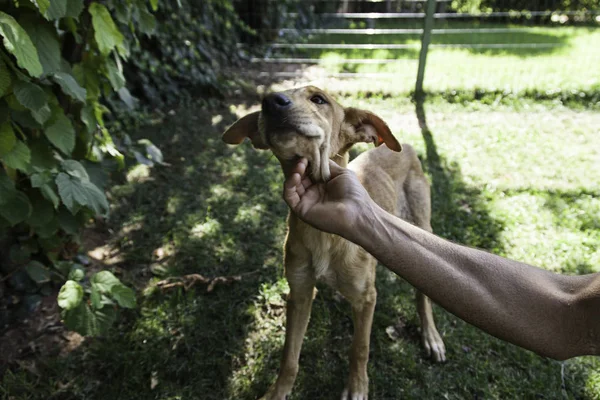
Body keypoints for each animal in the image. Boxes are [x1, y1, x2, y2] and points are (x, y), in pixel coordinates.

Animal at [221, 87, 446, 400]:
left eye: (319, 99)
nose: (271, 102)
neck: (324, 235)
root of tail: (411, 148)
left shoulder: (367, 298)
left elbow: (359, 348)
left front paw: (357, 387)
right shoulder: (300, 292)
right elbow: (289, 357)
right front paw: (278, 392)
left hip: (421, 227)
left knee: (422, 294)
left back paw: (431, 336)